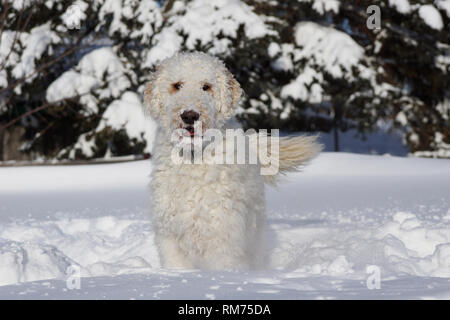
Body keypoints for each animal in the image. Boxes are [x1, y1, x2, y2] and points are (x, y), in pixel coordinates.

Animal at [144, 52, 320, 270]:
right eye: (177, 85)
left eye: (206, 86)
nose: (189, 115)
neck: (194, 157)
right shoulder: (170, 236)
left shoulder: (223, 235)